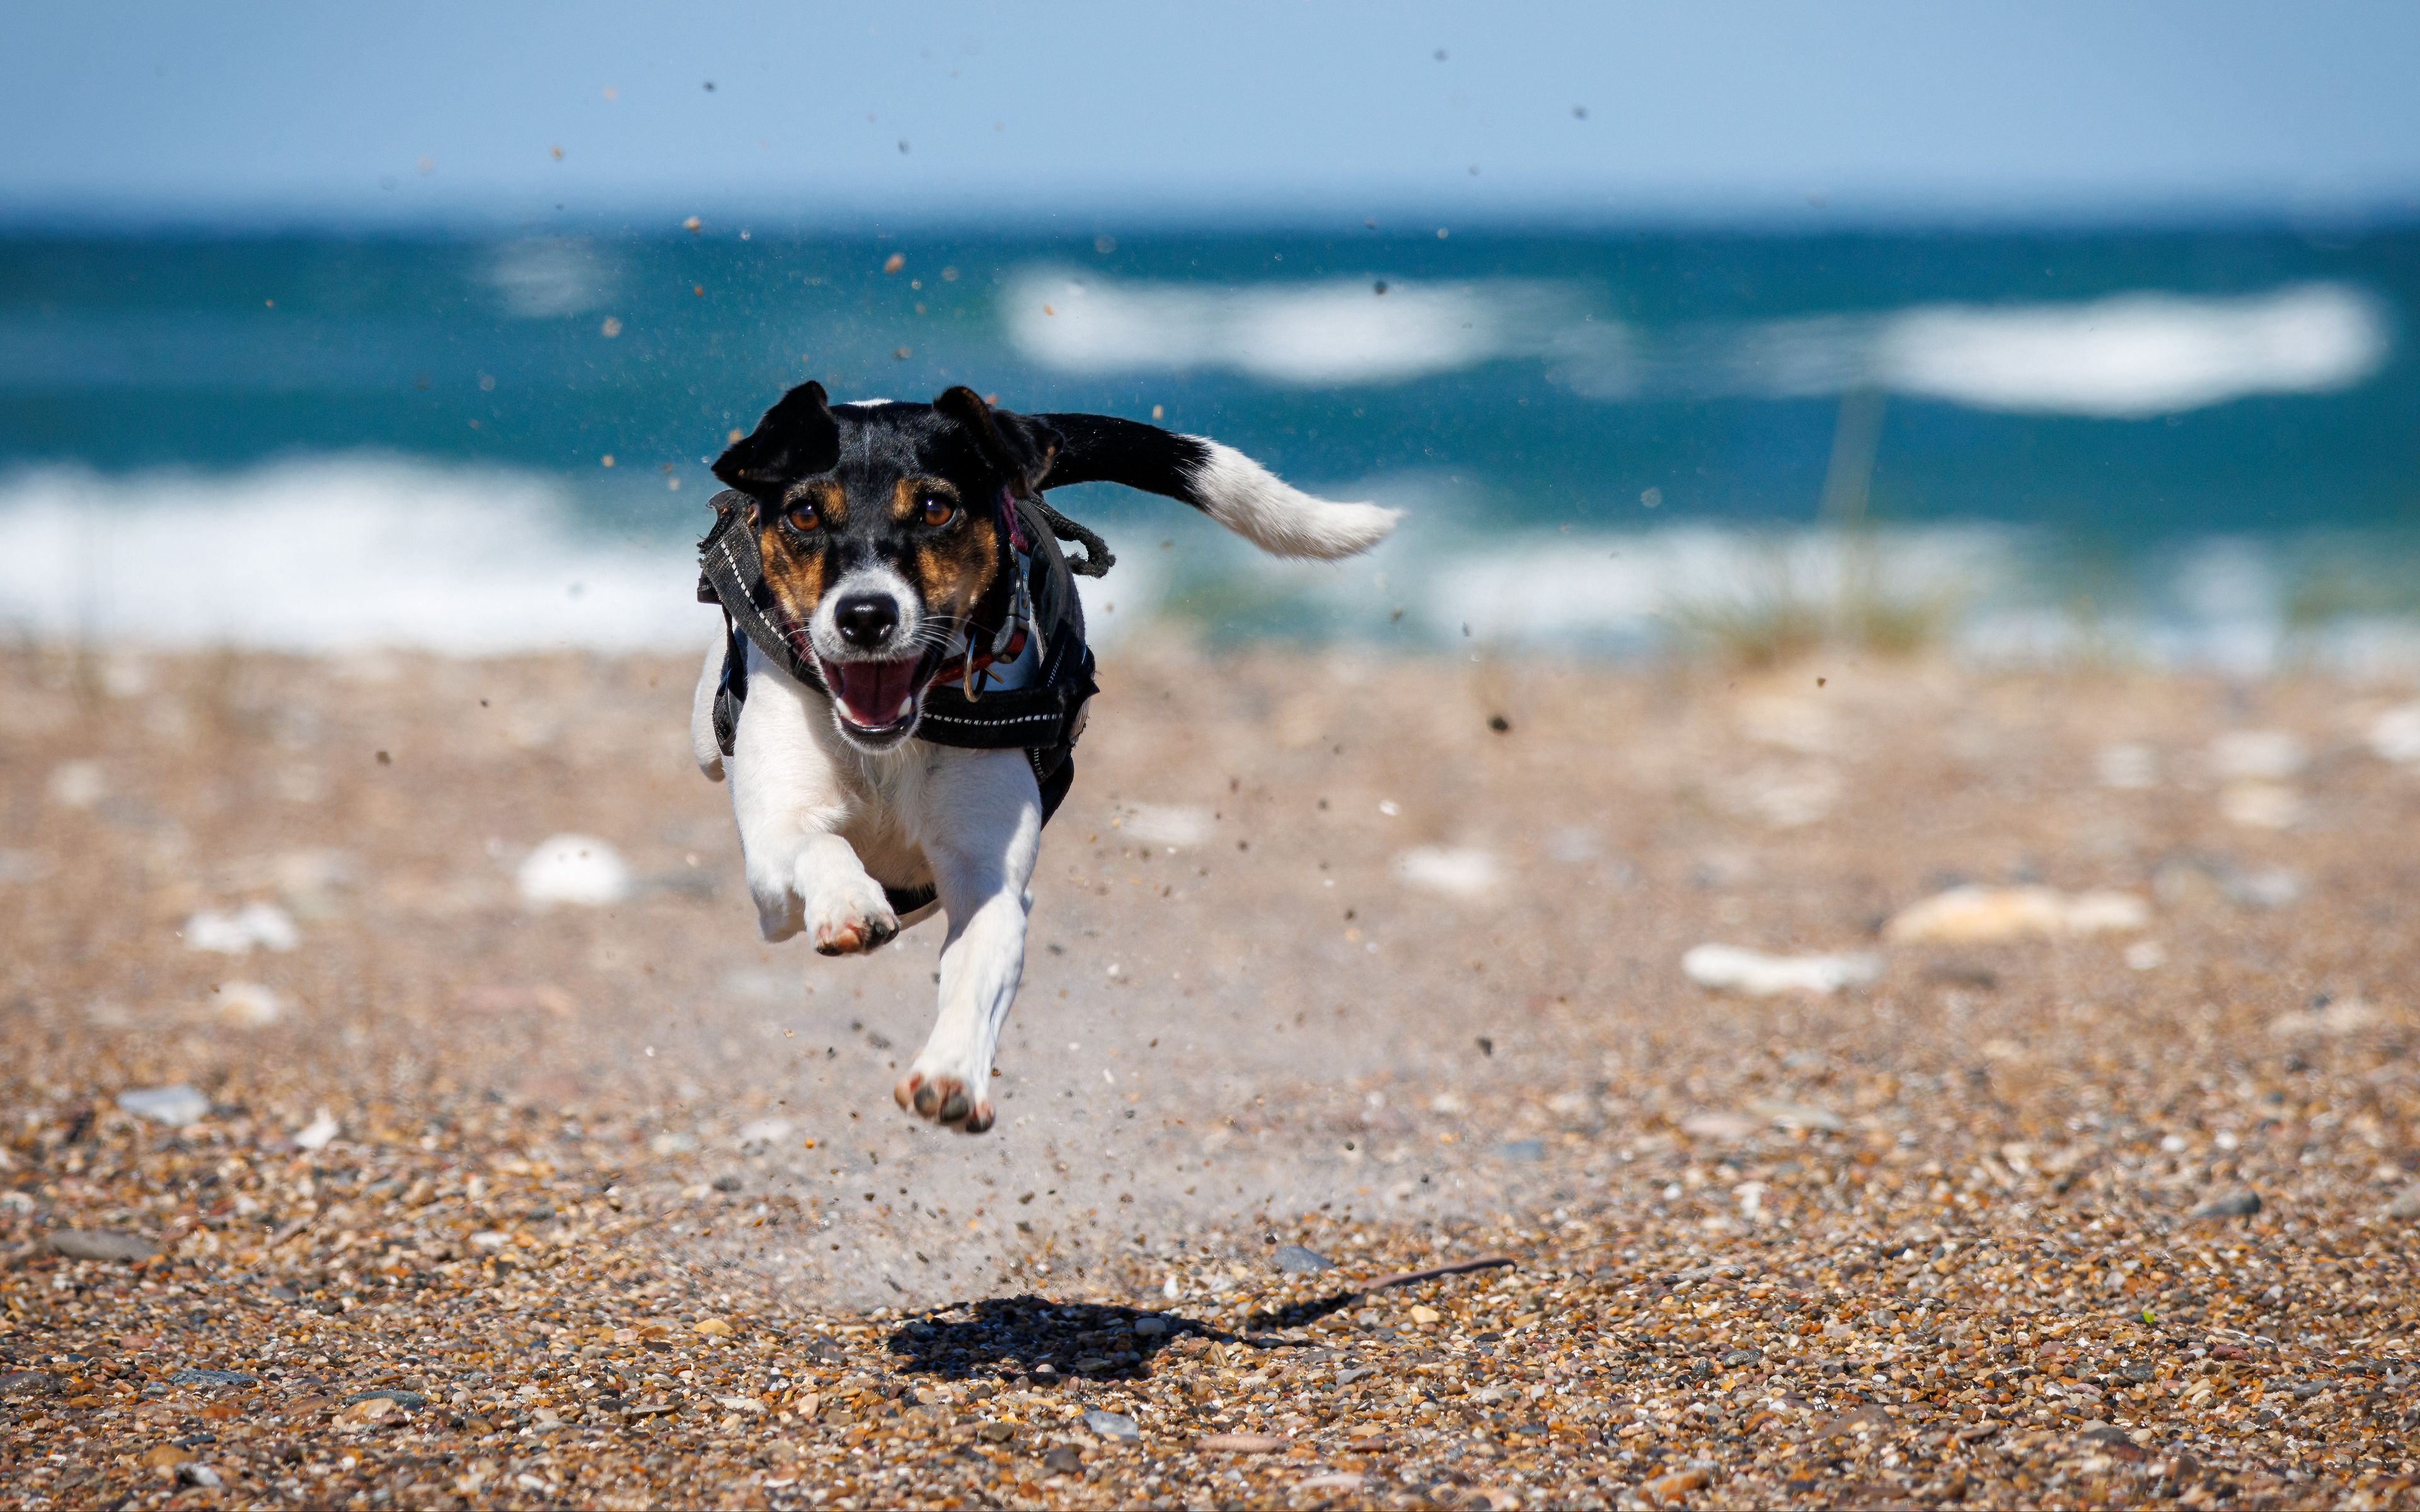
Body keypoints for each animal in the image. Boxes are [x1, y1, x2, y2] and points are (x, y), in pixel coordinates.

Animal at [692, 382, 1393, 1127]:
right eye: (803, 513)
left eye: (937, 508)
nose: (866, 616)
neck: (890, 745)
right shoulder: (773, 850)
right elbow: (818, 845)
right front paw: (850, 903)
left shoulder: (989, 878)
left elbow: (979, 969)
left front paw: (951, 1072)